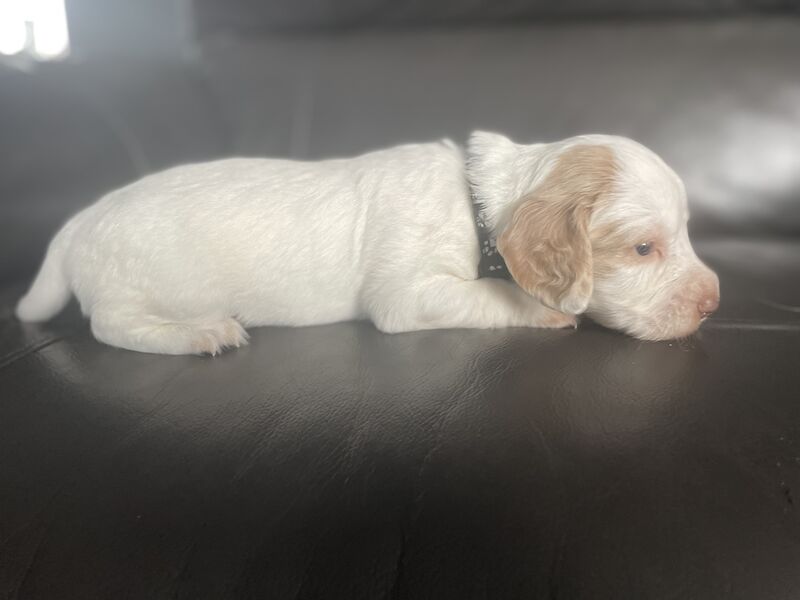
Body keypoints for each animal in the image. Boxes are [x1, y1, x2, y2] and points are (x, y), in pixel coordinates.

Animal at [17, 133, 720, 354]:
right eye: (642, 250)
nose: (714, 303)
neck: (481, 204)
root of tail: (78, 222)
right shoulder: (407, 293)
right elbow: (492, 295)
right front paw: (545, 312)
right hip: (132, 288)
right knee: (111, 325)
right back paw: (198, 332)